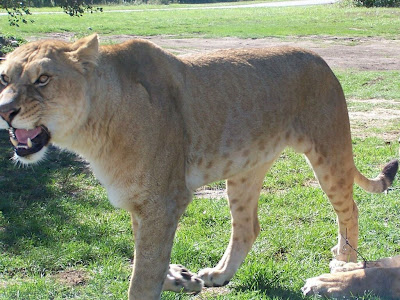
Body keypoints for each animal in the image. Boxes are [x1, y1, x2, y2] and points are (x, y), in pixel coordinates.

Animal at [0, 34, 398, 298]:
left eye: (43, 79)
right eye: (5, 78)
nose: (4, 110)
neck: (92, 129)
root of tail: (321, 59)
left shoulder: (164, 200)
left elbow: (142, 276)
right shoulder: (142, 203)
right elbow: (146, 257)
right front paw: (179, 278)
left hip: (329, 152)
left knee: (350, 209)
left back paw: (343, 264)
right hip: (245, 170)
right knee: (248, 227)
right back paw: (220, 275)